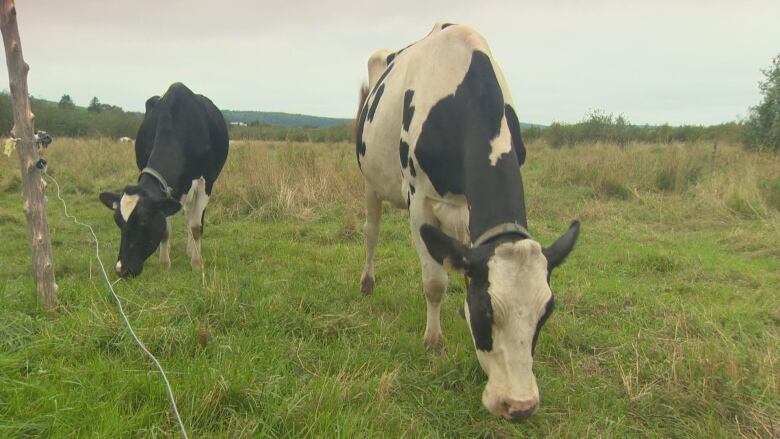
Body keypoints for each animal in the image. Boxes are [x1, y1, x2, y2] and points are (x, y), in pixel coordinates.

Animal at [99, 82, 227, 278]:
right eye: (118, 222)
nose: (122, 269)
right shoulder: (166, 191)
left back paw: (192, 250)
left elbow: (196, 226)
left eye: (143, 222)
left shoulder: (205, 182)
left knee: (194, 219)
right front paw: (165, 264)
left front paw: (197, 263)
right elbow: (166, 230)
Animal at [354, 22, 580, 422]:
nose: (519, 406)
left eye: (547, 311)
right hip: (371, 181)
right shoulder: (419, 200)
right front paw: (434, 341)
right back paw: (367, 282)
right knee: (371, 232)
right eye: (485, 310)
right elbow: (434, 283)